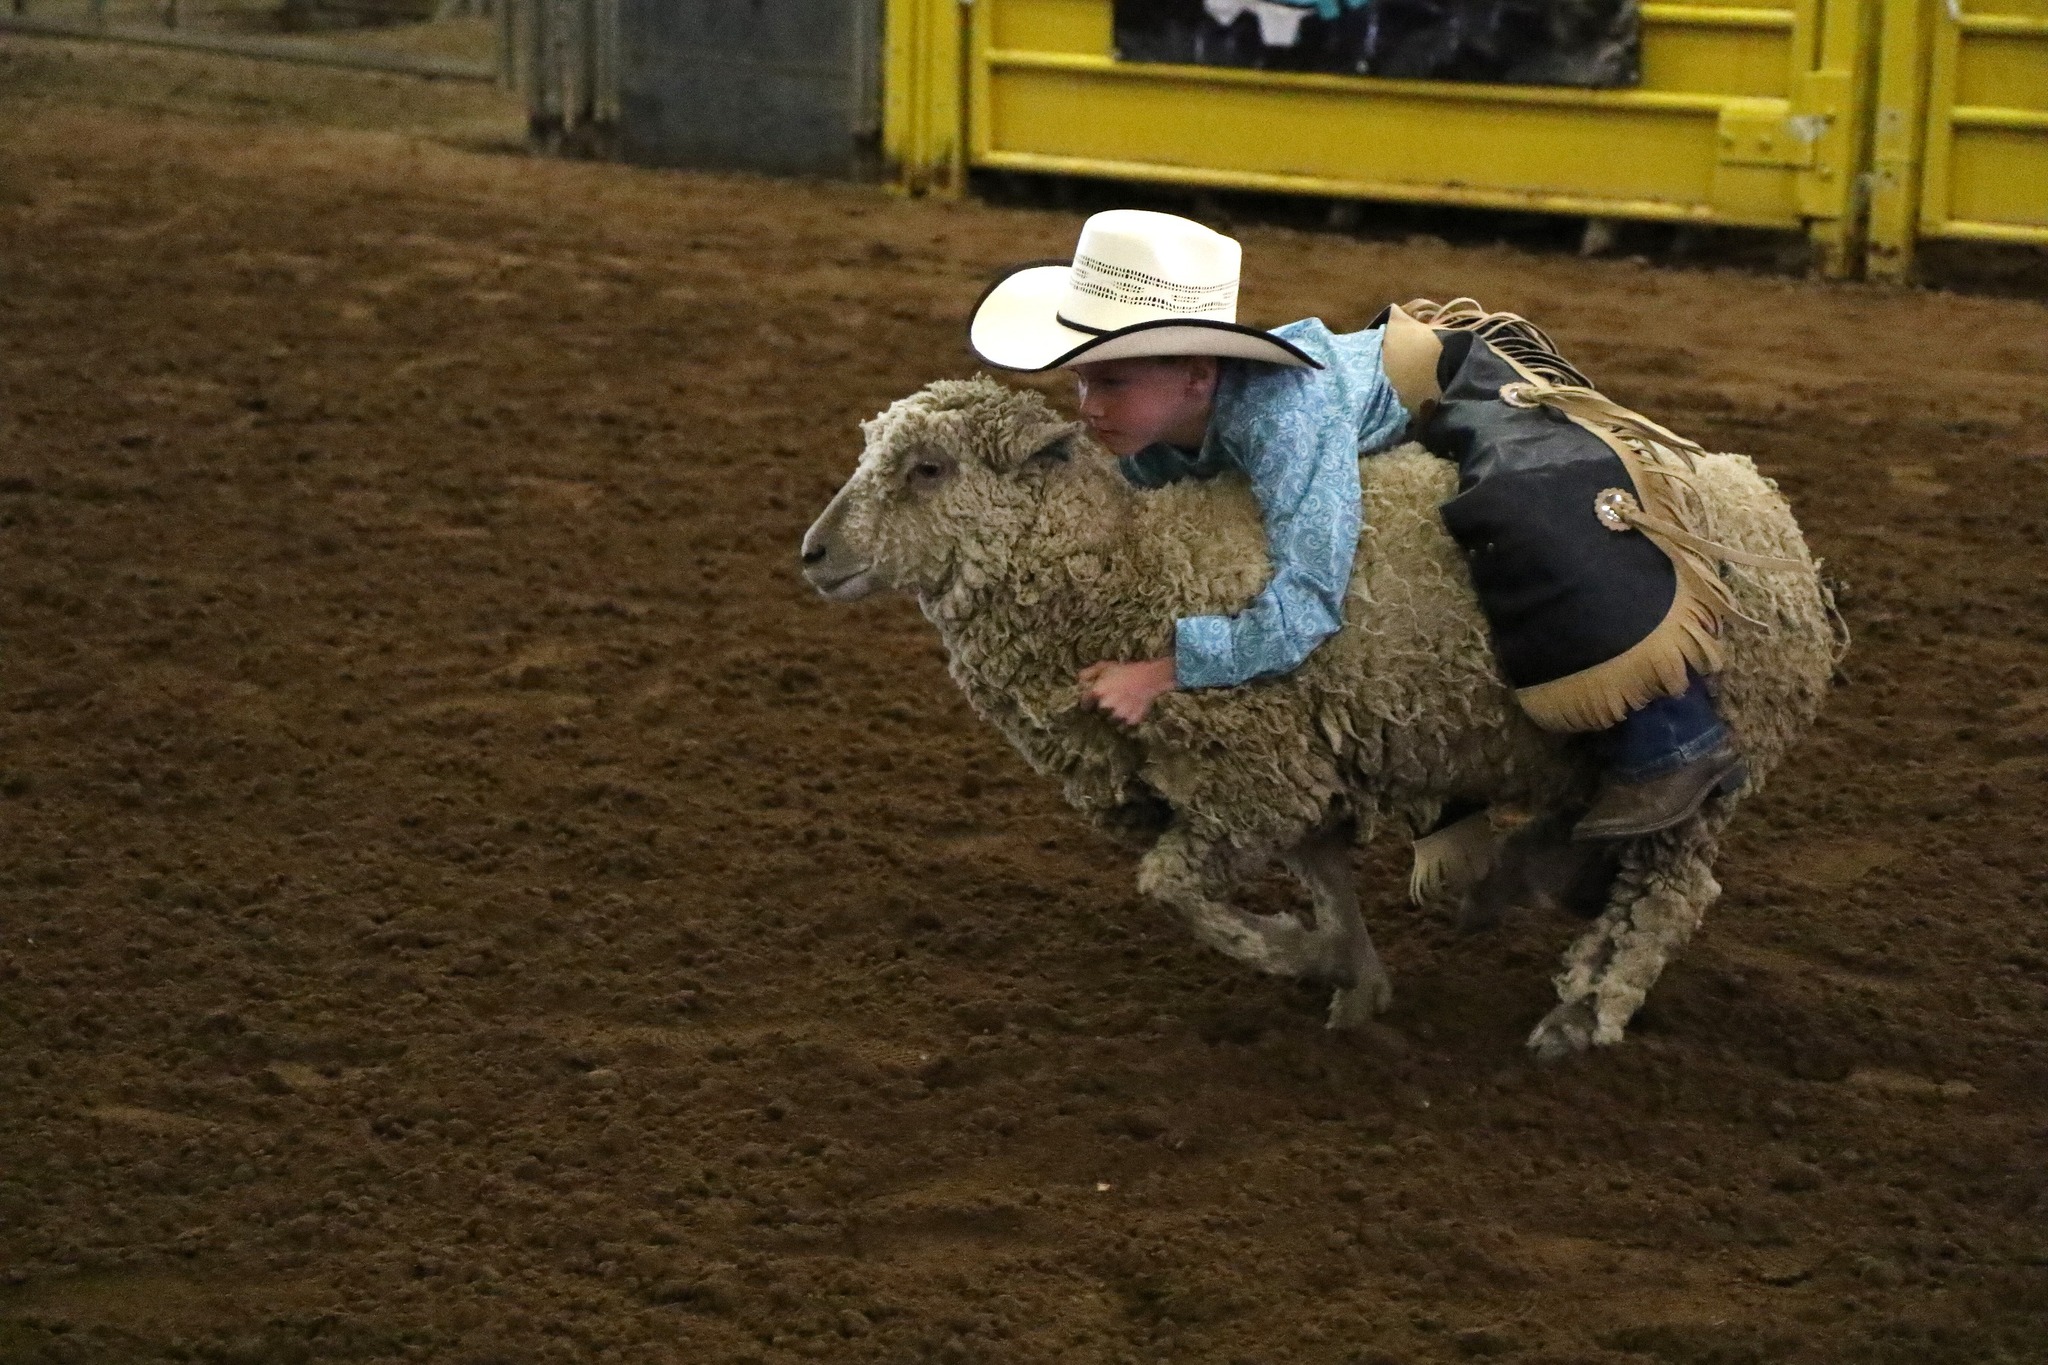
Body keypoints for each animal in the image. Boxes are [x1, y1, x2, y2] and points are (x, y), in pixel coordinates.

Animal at [798, 376, 1843, 1055]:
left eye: (928, 469)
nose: (813, 552)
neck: (1130, 564)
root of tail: (1777, 523)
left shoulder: (1248, 774)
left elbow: (1171, 888)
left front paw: (1297, 956)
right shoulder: (1292, 771)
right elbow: (1327, 878)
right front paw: (1354, 977)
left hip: (1711, 747)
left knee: (1668, 891)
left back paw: (1582, 1013)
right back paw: (1513, 879)